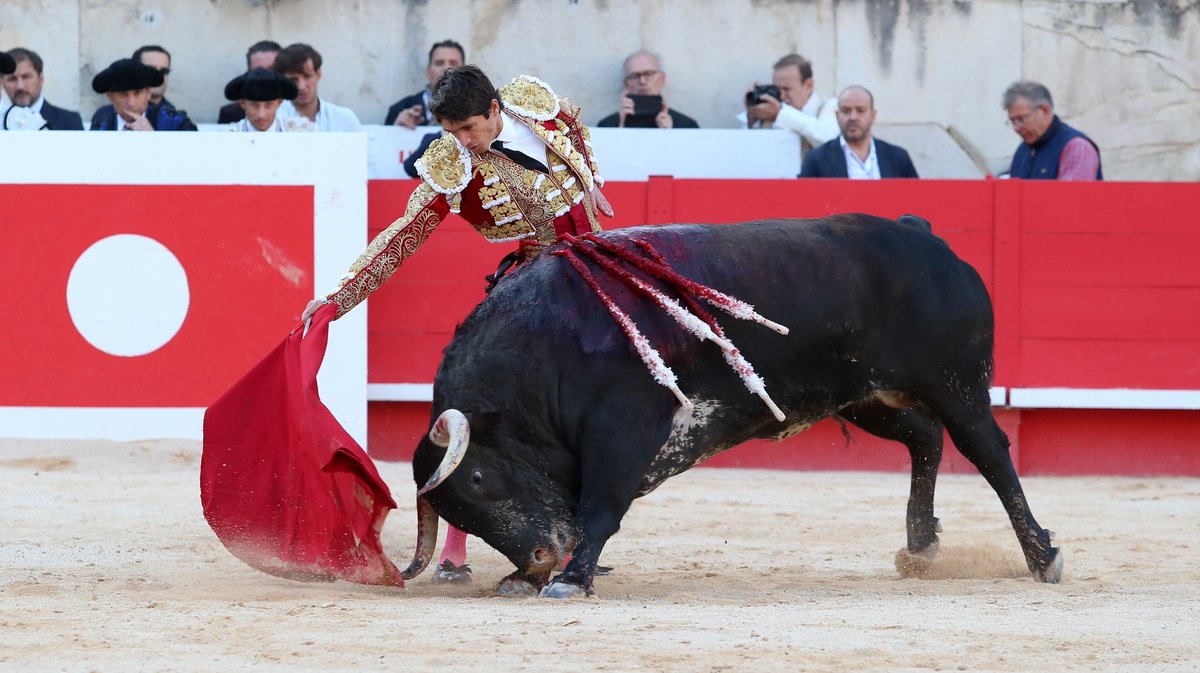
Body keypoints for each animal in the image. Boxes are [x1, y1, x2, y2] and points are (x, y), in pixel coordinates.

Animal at [400, 212, 1060, 595]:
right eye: (460, 512)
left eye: (479, 478)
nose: (539, 558)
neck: (548, 345)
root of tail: (922, 235)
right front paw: (524, 577)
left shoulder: (622, 429)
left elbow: (599, 508)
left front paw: (572, 579)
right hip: (862, 396)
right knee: (924, 436)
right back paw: (921, 545)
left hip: (957, 383)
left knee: (988, 451)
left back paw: (1041, 556)